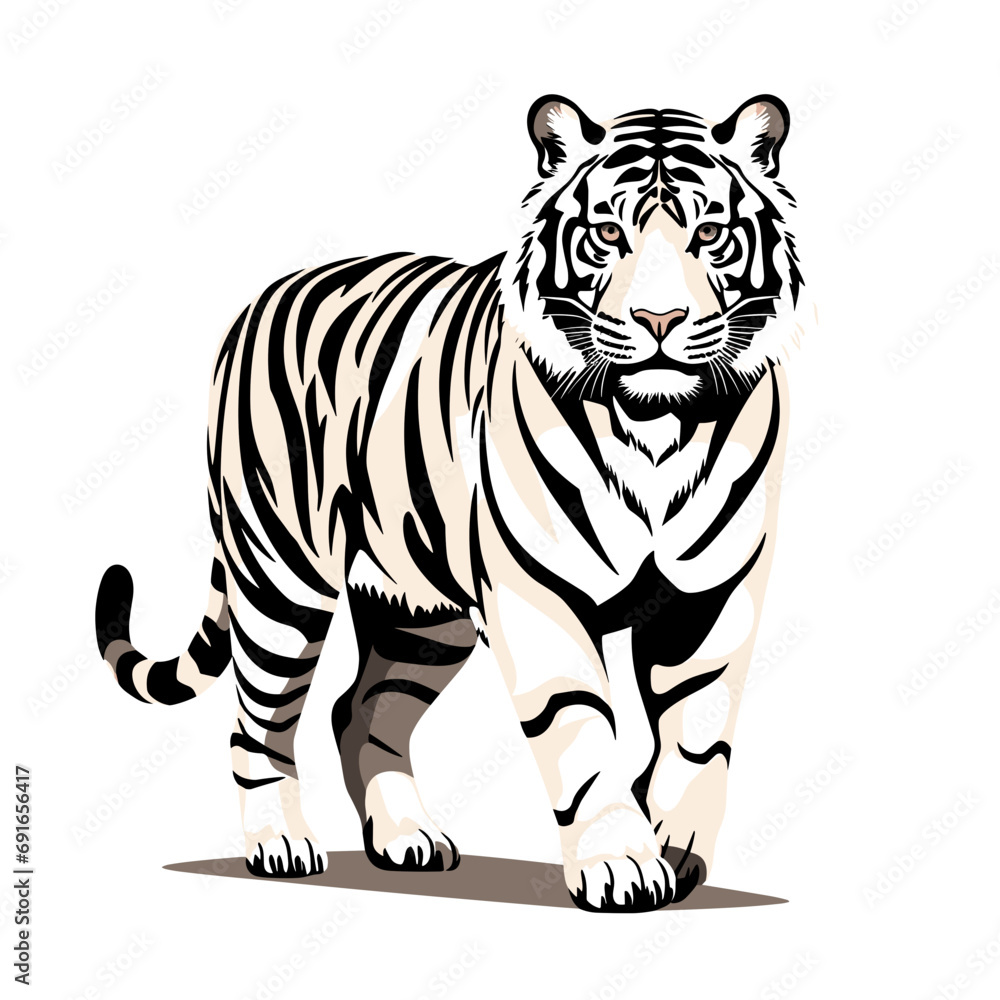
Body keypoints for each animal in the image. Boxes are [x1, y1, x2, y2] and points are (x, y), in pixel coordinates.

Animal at [95, 94, 804, 912]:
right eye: (607, 236)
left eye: (710, 235)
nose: (660, 322)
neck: (657, 427)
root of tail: (257, 302)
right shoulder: (538, 598)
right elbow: (583, 731)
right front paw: (620, 862)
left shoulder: (713, 597)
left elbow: (697, 734)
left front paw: (676, 850)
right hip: (280, 580)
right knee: (260, 722)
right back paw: (281, 845)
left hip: (421, 615)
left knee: (359, 709)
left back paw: (406, 837)